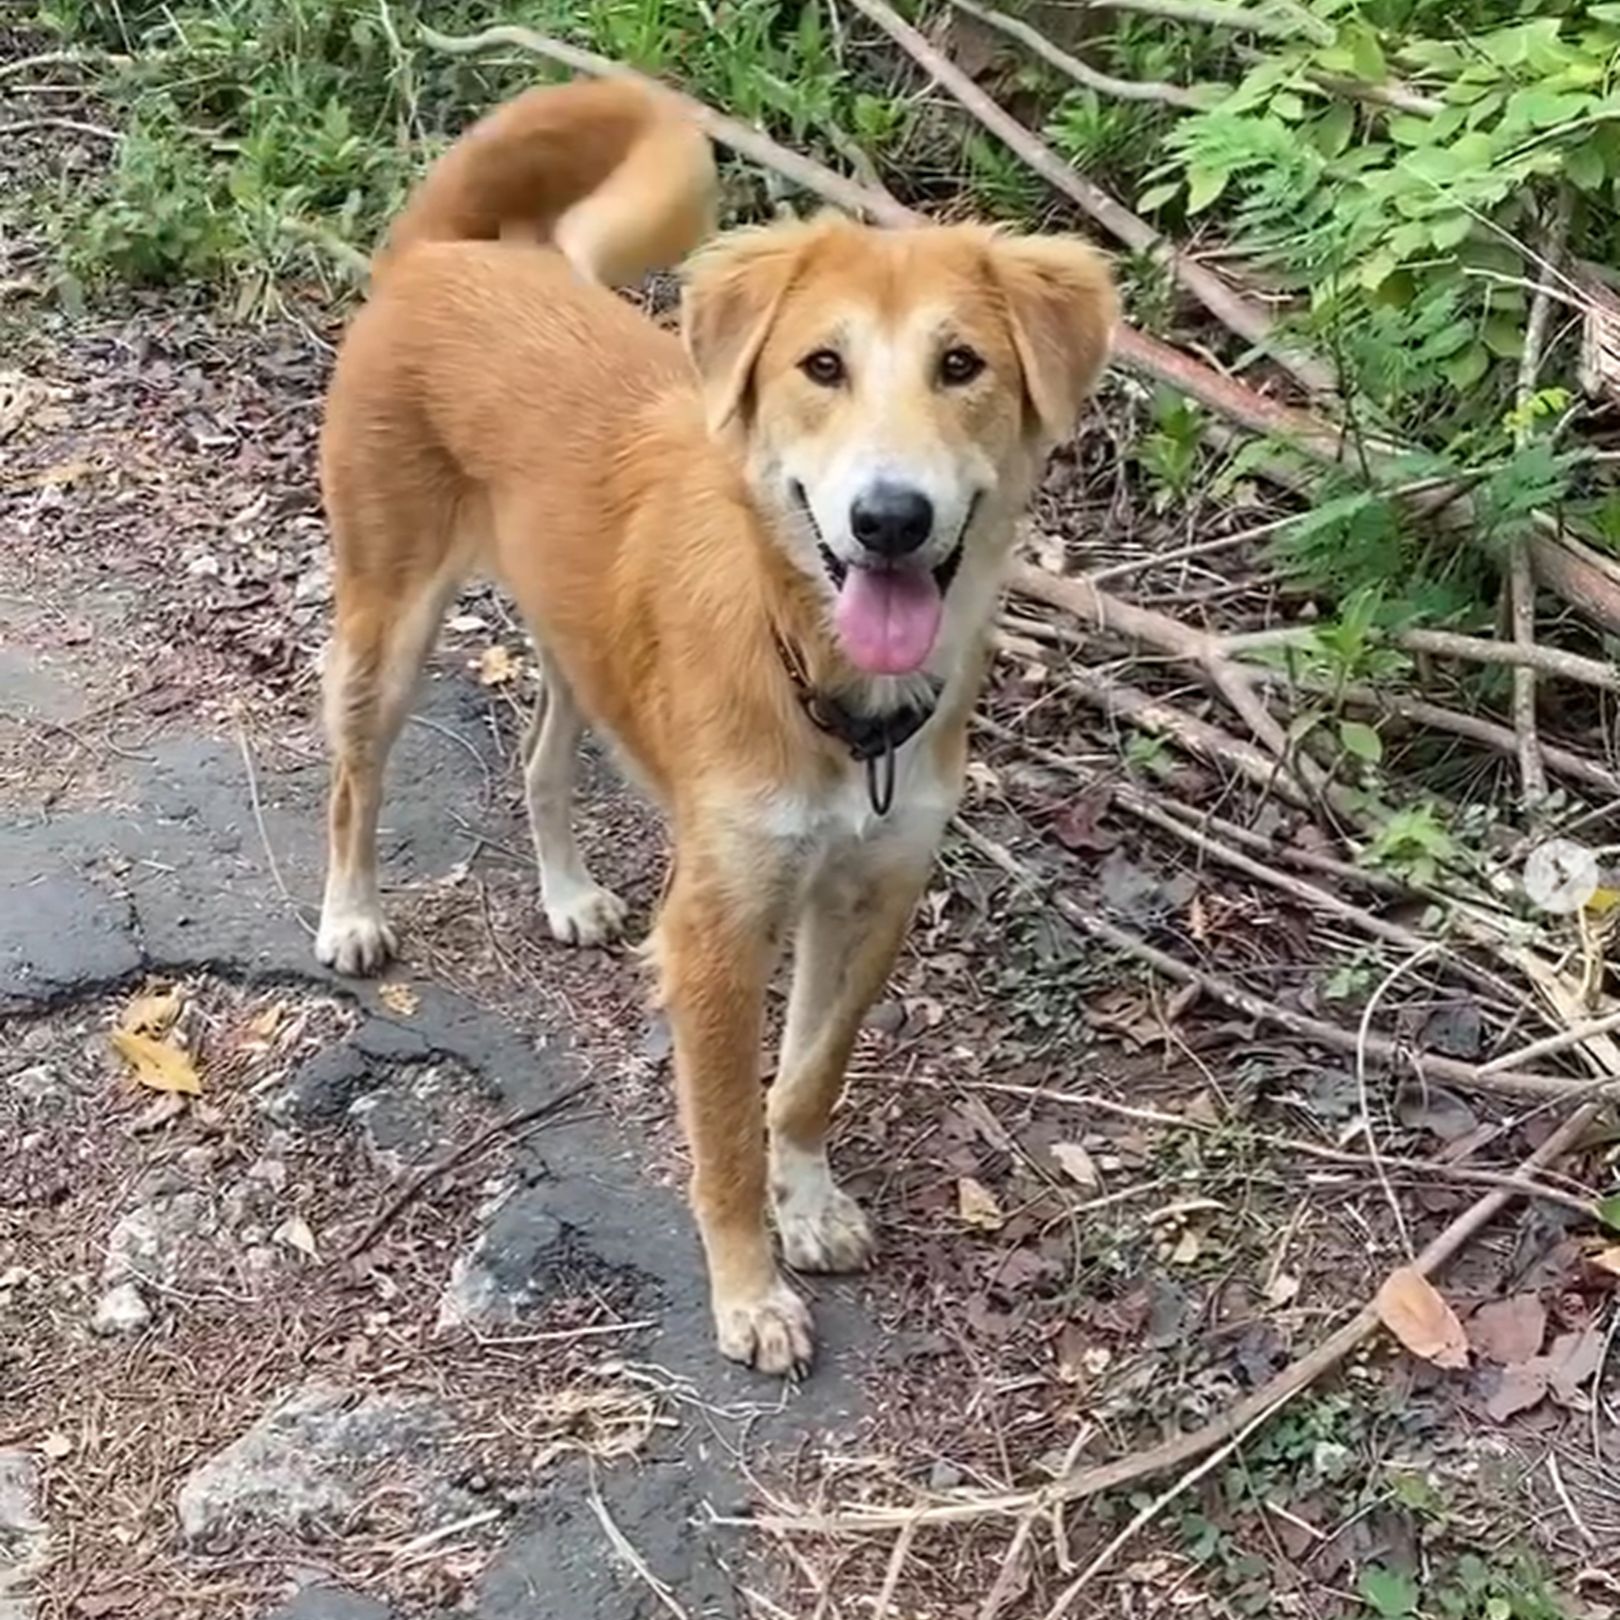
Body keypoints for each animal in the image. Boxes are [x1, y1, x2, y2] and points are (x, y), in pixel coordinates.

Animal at [312, 72, 1114, 1367]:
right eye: (822, 365)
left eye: (962, 364)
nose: (890, 518)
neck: (832, 689)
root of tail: (446, 254)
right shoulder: (717, 934)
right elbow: (726, 1136)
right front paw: (748, 1289)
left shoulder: (871, 894)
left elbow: (810, 1077)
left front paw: (810, 1202)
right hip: (386, 622)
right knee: (353, 778)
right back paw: (350, 916)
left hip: (576, 640)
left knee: (541, 761)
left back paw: (567, 892)